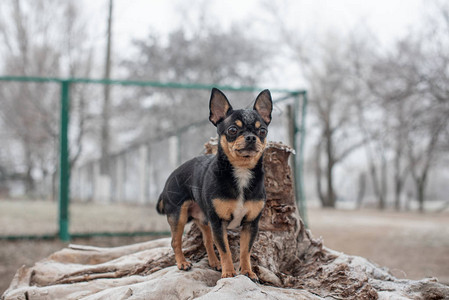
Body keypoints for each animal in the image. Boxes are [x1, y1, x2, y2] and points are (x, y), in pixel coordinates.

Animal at [156, 87, 272, 282]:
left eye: (262, 131)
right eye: (232, 130)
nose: (251, 137)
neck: (241, 171)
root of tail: (171, 176)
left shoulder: (250, 224)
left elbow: (245, 250)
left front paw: (247, 271)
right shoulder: (219, 223)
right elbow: (225, 249)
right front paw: (229, 273)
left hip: (204, 218)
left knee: (207, 241)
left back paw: (214, 263)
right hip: (178, 216)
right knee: (175, 241)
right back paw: (183, 263)